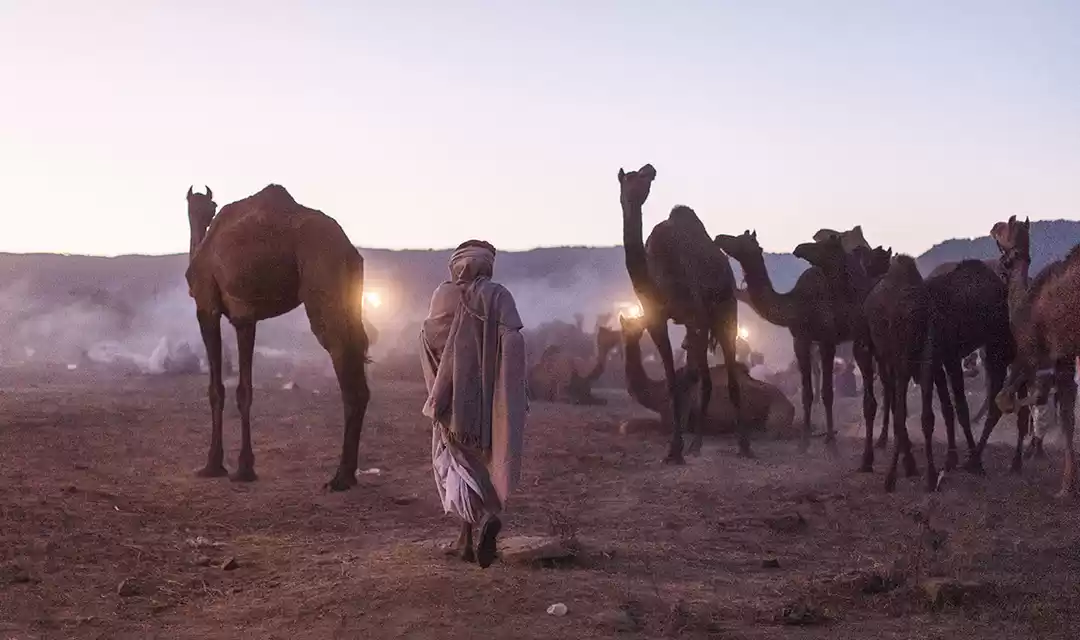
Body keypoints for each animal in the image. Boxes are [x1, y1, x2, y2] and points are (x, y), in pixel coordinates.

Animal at [185, 184, 371, 491]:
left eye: (210, 207)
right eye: (200, 207)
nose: (203, 214)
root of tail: (347, 248)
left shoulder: (207, 308)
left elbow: (218, 390)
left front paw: (217, 465)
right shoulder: (245, 317)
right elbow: (244, 391)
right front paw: (244, 467)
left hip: (322, 276)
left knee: (341, 352)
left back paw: (340, 477)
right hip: (351, 292)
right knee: (357, 351)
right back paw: (349, 474)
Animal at [617, 164, 750, 463]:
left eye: (642, 177)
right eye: (628, 178)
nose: (649, 169)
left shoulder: (695, 314)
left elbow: (688, 378)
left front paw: (678, 446)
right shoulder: (656, 320)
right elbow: (671, 381)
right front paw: (674, 449)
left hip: (726, 309)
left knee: (726, 376)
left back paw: (743, 445)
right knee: (705, 378)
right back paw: (697, 444)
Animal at [619, 314, 795, 437]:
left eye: (638, 325)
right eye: (624, 325)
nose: (628, 332)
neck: (658, 391)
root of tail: (790, 404)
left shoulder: (673, 420)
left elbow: (635, 425)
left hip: (776, 414)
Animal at [714, 230, 873, 454]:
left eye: (741, 240)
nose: (719, 237)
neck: (794, 304)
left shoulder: (827, 339)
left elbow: (827, 392)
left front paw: (831, 441)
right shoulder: (800, 339)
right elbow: (807, 393)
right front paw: (804, 442)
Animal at [991, 216, 1080, 498]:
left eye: (1004, 228)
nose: (993, 226)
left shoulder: (1033, 355)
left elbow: (1005, 399)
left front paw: (1065, 488)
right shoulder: (1064, 357)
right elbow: (1067, 417)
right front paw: (1069, 485)